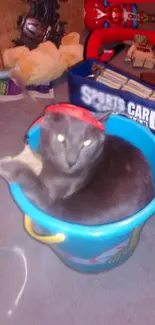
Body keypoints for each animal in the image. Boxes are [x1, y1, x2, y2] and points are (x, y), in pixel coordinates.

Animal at [0, 110, 154, 224]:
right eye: (61, 138)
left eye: (87, 143)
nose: (71, 161)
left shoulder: (48, 199)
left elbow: (29, 177)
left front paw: (6, 165)